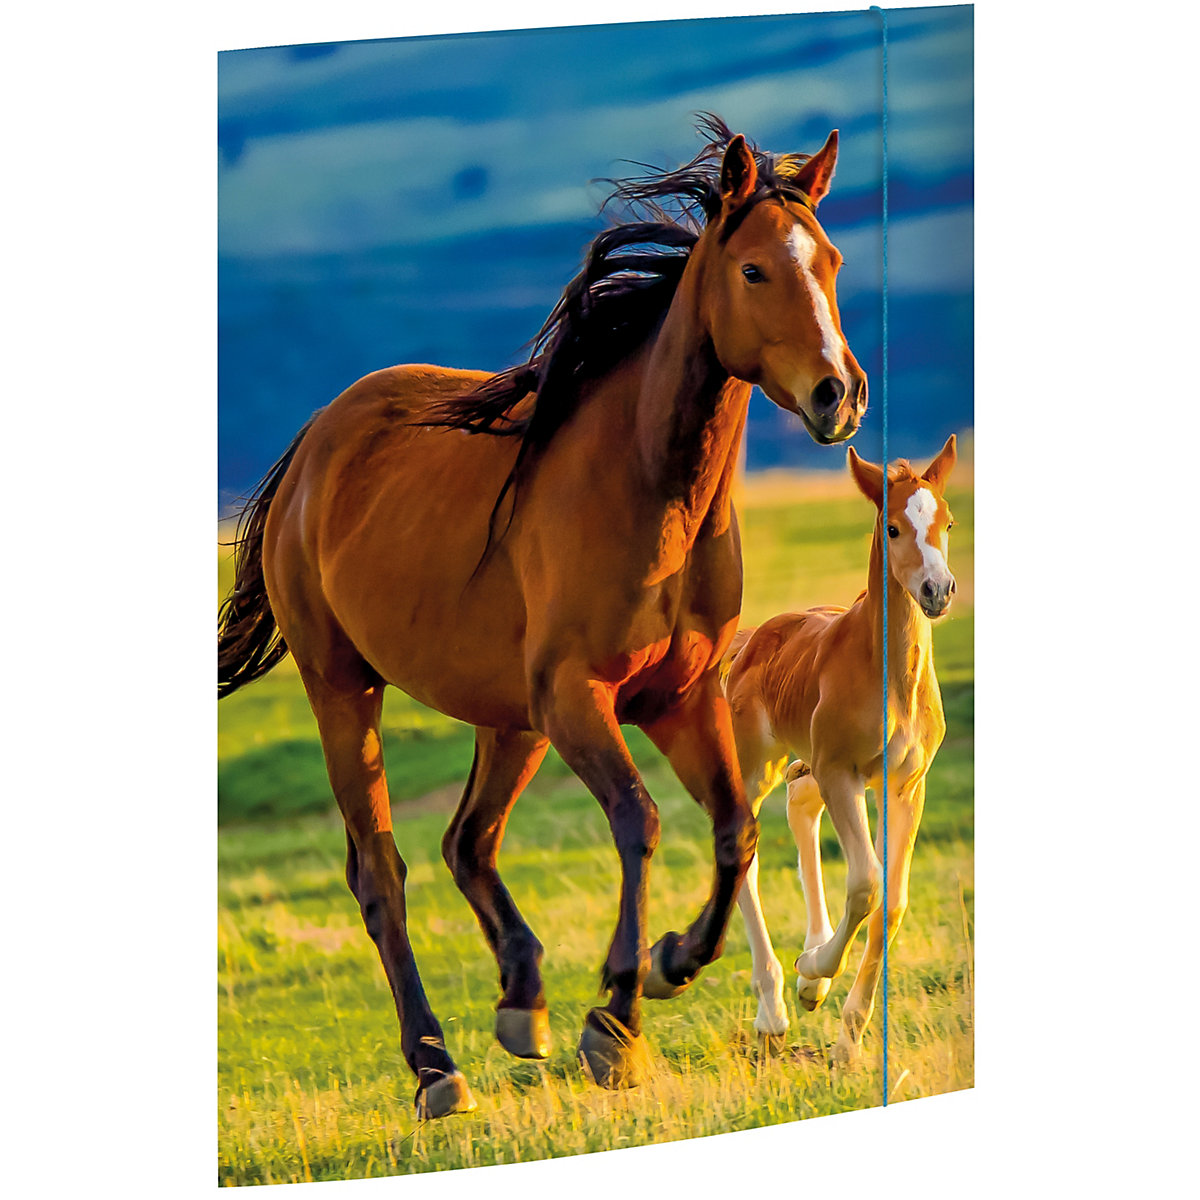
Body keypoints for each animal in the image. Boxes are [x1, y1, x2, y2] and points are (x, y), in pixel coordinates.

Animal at [217, 115, 867, 1118]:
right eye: (756, 269)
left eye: (830, 260)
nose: (840, 394)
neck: (648, 489)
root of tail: (314, 446)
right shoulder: (579, 698)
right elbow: (639, 822)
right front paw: (618, 1018)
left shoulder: (679, 699)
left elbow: (735, 830)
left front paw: (671, 963)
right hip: (346, 690)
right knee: (382, 871)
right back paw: (436, 1068)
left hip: (507, 718)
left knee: (468, 842)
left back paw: (522, 1004)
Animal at [722, 436, 957, 1063]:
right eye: (894, 528)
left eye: (948, 522)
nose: (938, 591)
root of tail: (751, 640)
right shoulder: (842, 772)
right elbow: (866, 884)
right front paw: (813, 973)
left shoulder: (906, 785)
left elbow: (892, 902)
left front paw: (849, 1039)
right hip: (758, 764)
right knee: (745, 848)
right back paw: (775, 1008)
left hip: (807, 766)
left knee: (800, 806)